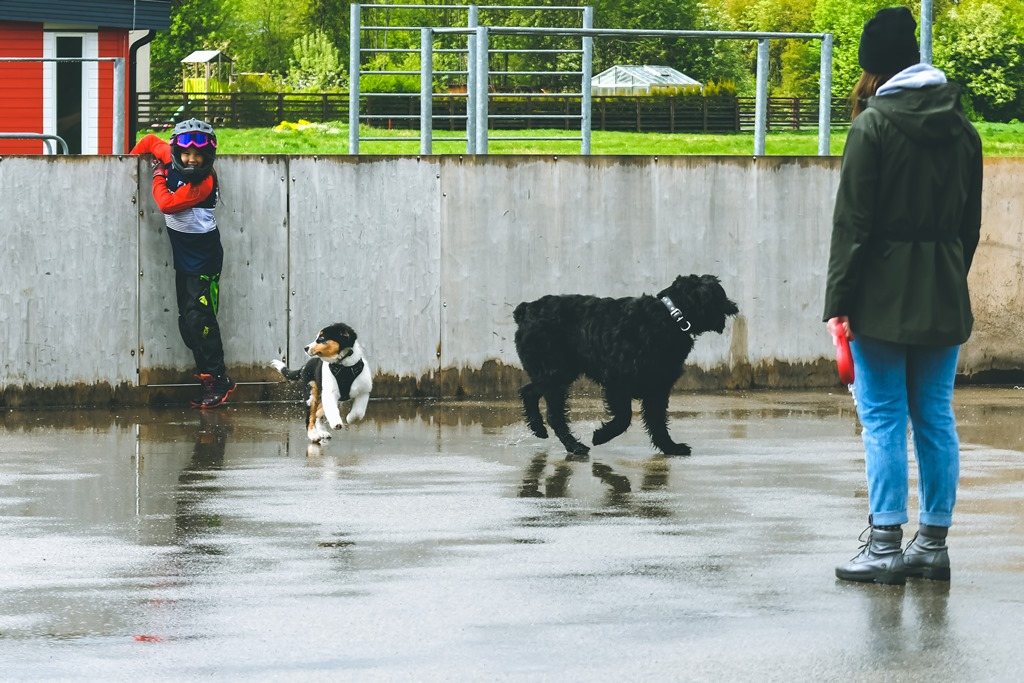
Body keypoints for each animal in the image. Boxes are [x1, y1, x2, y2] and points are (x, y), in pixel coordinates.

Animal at [516, 274, 741, 458]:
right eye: (719, 294)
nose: (734, 306)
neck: (670, 317)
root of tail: (526, 310)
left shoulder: (658, 388)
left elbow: (658, 422)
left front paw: (670, 447)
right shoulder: (618, 382)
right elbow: (624, 418)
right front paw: (600, 435)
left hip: (556, 374)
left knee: (528, 391)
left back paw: (538, 429)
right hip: (554, 375)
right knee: (554, 415)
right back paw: (575, 446)